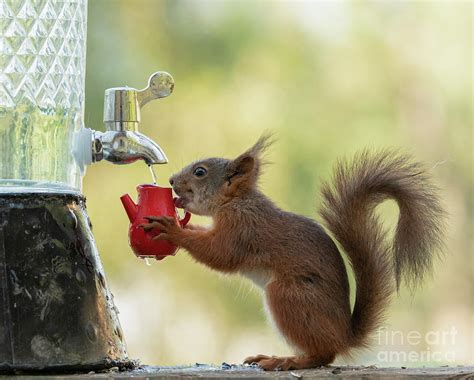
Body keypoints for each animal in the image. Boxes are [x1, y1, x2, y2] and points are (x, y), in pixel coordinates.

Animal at [140, 136, 444, 372]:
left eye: (200, 172)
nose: (171, 180)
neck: (236, 202)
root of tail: (345, 335)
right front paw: (182, 224)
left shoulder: (243, 229)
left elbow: (220, 255)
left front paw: (173, 231)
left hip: (288, 296)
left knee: (323, 355)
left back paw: (286, 361)